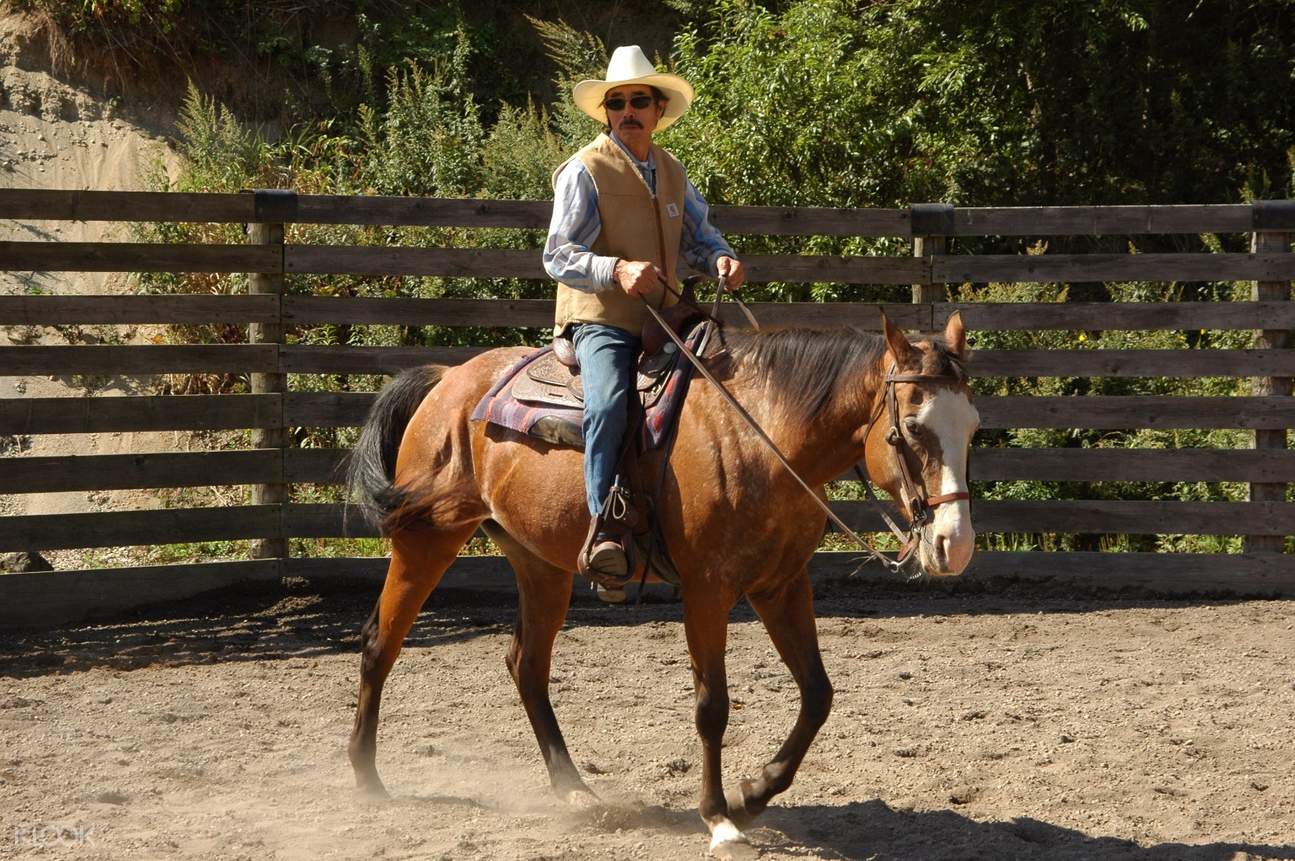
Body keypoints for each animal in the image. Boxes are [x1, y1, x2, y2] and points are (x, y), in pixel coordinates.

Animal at [347, 309, 979, 854]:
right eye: (911, 429)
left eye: (973, 425)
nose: (957, 544)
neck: (761, 437)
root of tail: (449, 380)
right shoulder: (707, 590)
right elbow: (712, 707)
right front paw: (720, 819)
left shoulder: (781, 584)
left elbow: (818, 695)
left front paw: (753, 795)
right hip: (427, 538)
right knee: (382, 643)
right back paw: (365, 776)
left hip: (540, 564)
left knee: (526, 665)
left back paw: (573, 789)